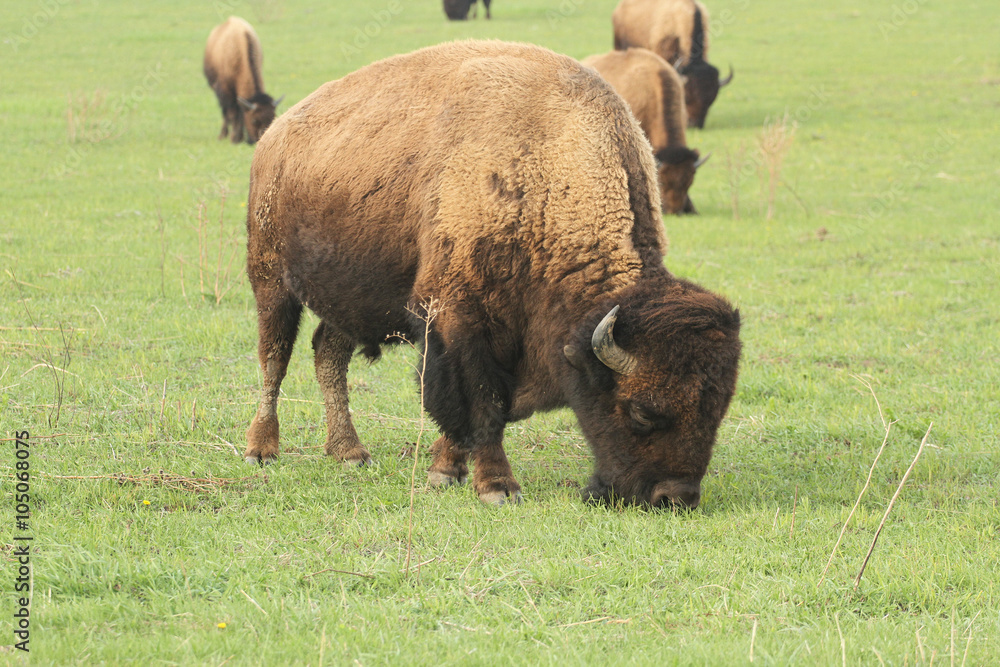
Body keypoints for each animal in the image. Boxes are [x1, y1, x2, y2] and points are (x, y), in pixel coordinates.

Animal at [203, 16, 283, 144]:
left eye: (272, 118)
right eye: (254, 120)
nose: (258, 140)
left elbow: (240, 112)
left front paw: (238, 137)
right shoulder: (225, 91)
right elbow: (231, 113)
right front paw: (234, 138)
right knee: (225, 112)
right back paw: (223, 135)